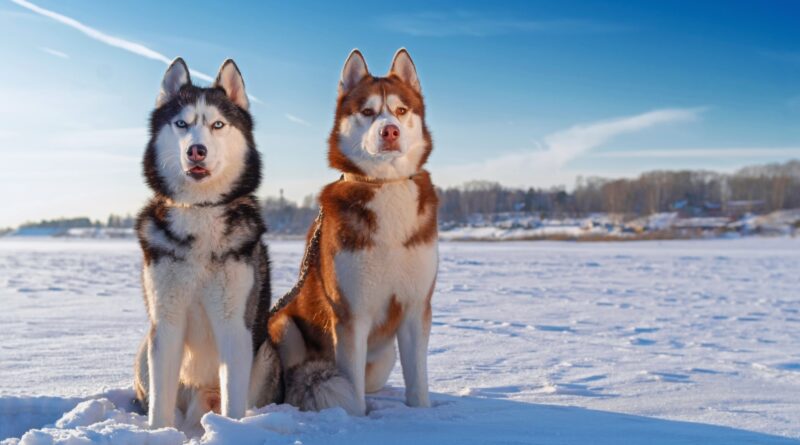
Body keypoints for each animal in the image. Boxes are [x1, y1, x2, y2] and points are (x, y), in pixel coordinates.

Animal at [133, 58, 281, 430]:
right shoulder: (166, 322)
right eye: (181, 123)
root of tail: (202, 398)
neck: (200, 212)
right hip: (144, 350)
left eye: (217, 124)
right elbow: (160, 404)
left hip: (266, 355)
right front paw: (158, 434)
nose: (196, 150)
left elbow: (234, 402)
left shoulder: (235, 324)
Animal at [270, 48, 438, 416]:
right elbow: (353, 391)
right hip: (283, 326)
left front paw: (421, 416)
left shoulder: (416, 306)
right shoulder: (350, 314)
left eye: (401, 110)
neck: (384, 185)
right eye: (367, 112)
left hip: (385, 358)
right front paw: (357, 421)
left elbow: (418, 383)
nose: (389, 131)